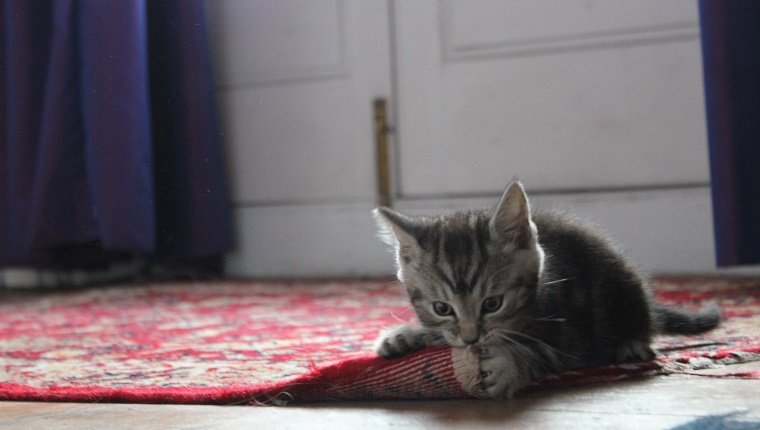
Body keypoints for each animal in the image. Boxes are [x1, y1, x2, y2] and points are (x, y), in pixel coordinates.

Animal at [372, 180, 720, 398]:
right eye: (442, 309)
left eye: (492, 304)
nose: (471, 339)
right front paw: (406, 335)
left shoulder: (573, 335)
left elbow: (541, 353)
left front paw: (507, 366)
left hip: (624, 284)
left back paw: (632, 343)